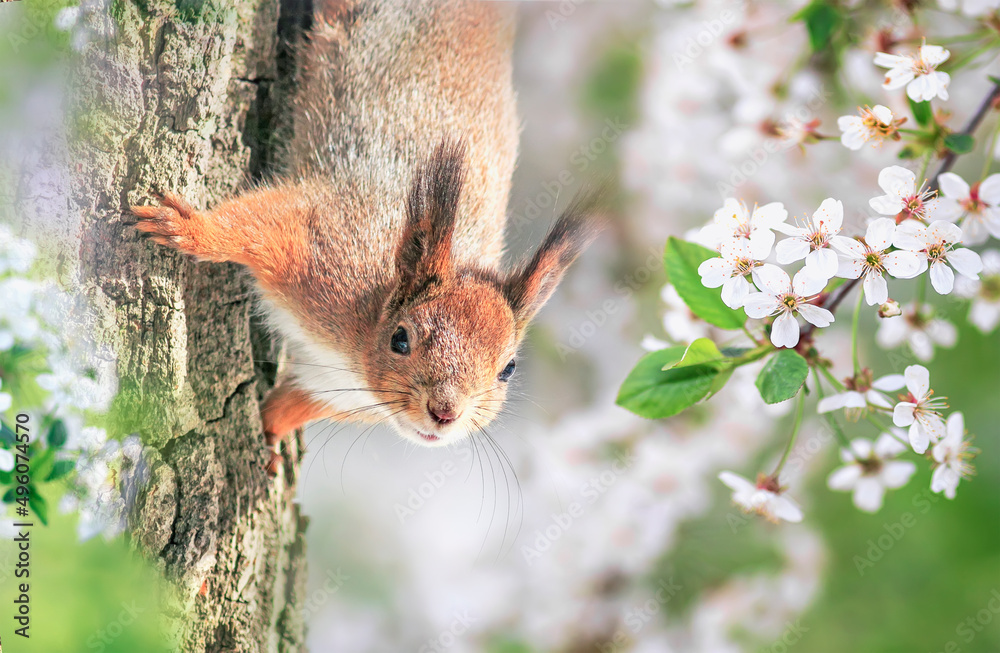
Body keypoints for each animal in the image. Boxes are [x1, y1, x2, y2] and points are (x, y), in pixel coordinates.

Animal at [133, 0, 600, 468]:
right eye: (401, 339)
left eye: (508, 369)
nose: (445, 413)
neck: (358, 349)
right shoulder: (326, 249)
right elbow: (262, 223)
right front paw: (189, 228)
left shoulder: (331, 390)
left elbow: (293, 404)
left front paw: (269, 435)